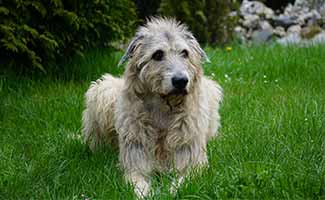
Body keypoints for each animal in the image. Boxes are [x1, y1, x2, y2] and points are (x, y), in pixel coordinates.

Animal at [82, 17, 221, 198]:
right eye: (158, 54)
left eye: (185, 53)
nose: (181, 81)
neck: (164, 109)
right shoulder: (135, 163)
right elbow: (137, 183)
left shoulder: (192, 163)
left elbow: (182, 182)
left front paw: (170, 191)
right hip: (102, 91)